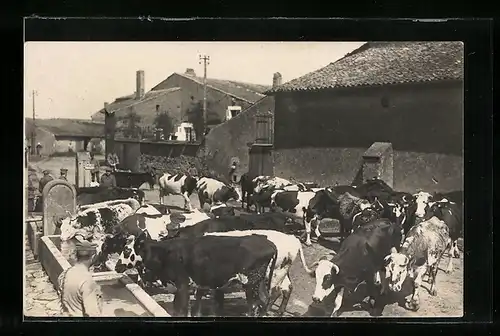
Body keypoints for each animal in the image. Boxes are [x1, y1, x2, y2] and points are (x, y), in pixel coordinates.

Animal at [115, 231, 280, 318]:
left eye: (127, 250)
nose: (117, 266)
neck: (165, 253)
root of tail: (269, 243)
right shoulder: (178, 288)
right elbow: (178, 308)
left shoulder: (183, 285)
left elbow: (182, 309)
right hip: (259, 281)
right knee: (264, 300)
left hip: (250, 282)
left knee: (254, 304)